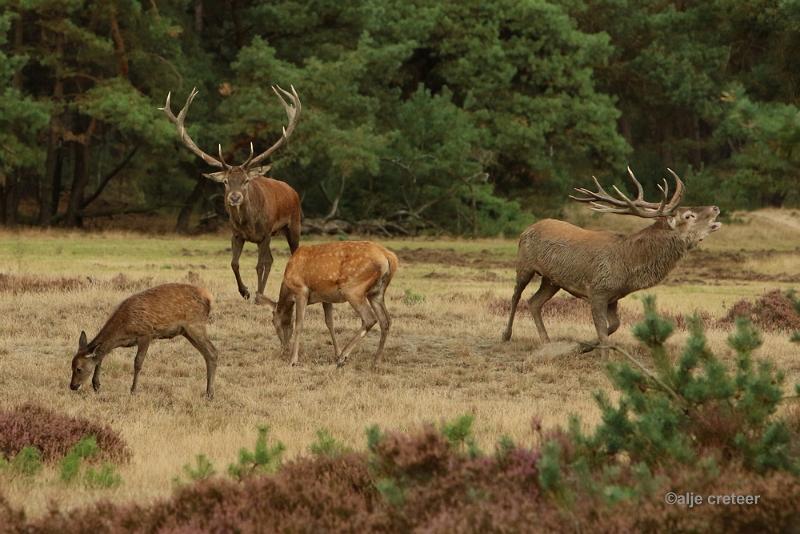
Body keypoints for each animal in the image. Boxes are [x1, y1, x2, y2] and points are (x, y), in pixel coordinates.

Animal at [68, 286, 219, 400]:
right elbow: (100, 357)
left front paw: (133, 390)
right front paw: (96, 385)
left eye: (79, 369)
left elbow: (138, 362)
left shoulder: (146, 334)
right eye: (71, 366)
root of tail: (209, 298)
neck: (124, 330)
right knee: (207, 354)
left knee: (212, 352)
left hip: (195, 325)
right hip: (187, 331)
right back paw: (208, 392)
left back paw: (210, 394)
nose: (73, 386)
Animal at [160, 86, 304, 308]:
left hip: (293, 224)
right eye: (226, 181)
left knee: (288, 255)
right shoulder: (236, 234)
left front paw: (257, 296)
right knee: (271, 259)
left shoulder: (265, 232)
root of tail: (292, 191)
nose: (234, 198)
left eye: (245, 180)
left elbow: (260, 264)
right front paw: (245, 292)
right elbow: (234, 263)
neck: (248, 223)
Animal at [506, 170, 724, 350]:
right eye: (689, 215)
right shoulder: (597, 290)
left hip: (552, 281)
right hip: (524, 264)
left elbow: (613, 327)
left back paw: (547, 341)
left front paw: (585, 346)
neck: (627, 265)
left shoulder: (613, 297)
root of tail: (527, 228)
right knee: (516, 295)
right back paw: (506, 335)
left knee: (534, 302)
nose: (715, 207)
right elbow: (603, 332)